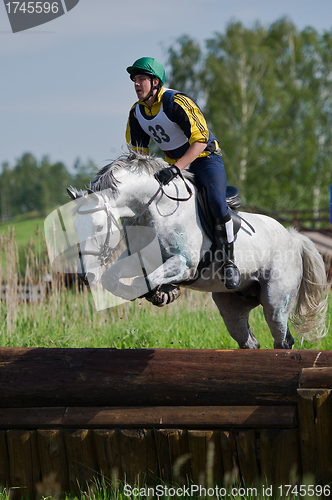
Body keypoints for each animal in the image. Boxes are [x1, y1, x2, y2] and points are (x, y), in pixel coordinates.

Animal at [67, 150, 326, 350]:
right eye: (75, 228)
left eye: (98, 227)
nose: (85, 275)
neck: (154, 209)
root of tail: (292, 236)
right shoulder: (137, 259)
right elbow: (113, 279)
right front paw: (162, 293)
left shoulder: (184, 265)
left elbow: (148, 279)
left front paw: (163, 293)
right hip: (232, 304)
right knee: (249, 341)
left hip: (275, 301)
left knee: (282, 339)